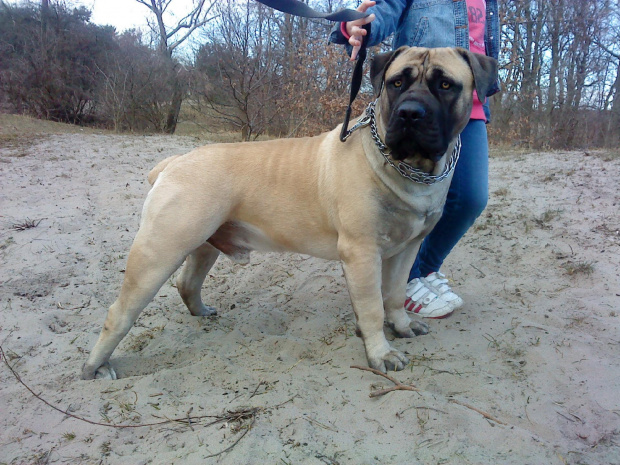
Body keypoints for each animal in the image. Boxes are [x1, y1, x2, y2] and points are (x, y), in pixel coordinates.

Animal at [82, 45, 498, 378]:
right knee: (119, 313)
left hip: (203, 244)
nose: (411, 113)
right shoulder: (363, 253)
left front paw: (402, 325)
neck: (409, 166)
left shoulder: (407, 248)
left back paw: (202, 312)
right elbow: (371, 308)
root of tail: (174, 162)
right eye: (397, 83)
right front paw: (380, 353)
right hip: (159, 251)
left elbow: (394, 295)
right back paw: (95, 368)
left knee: (188, 283)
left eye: (446, 85)